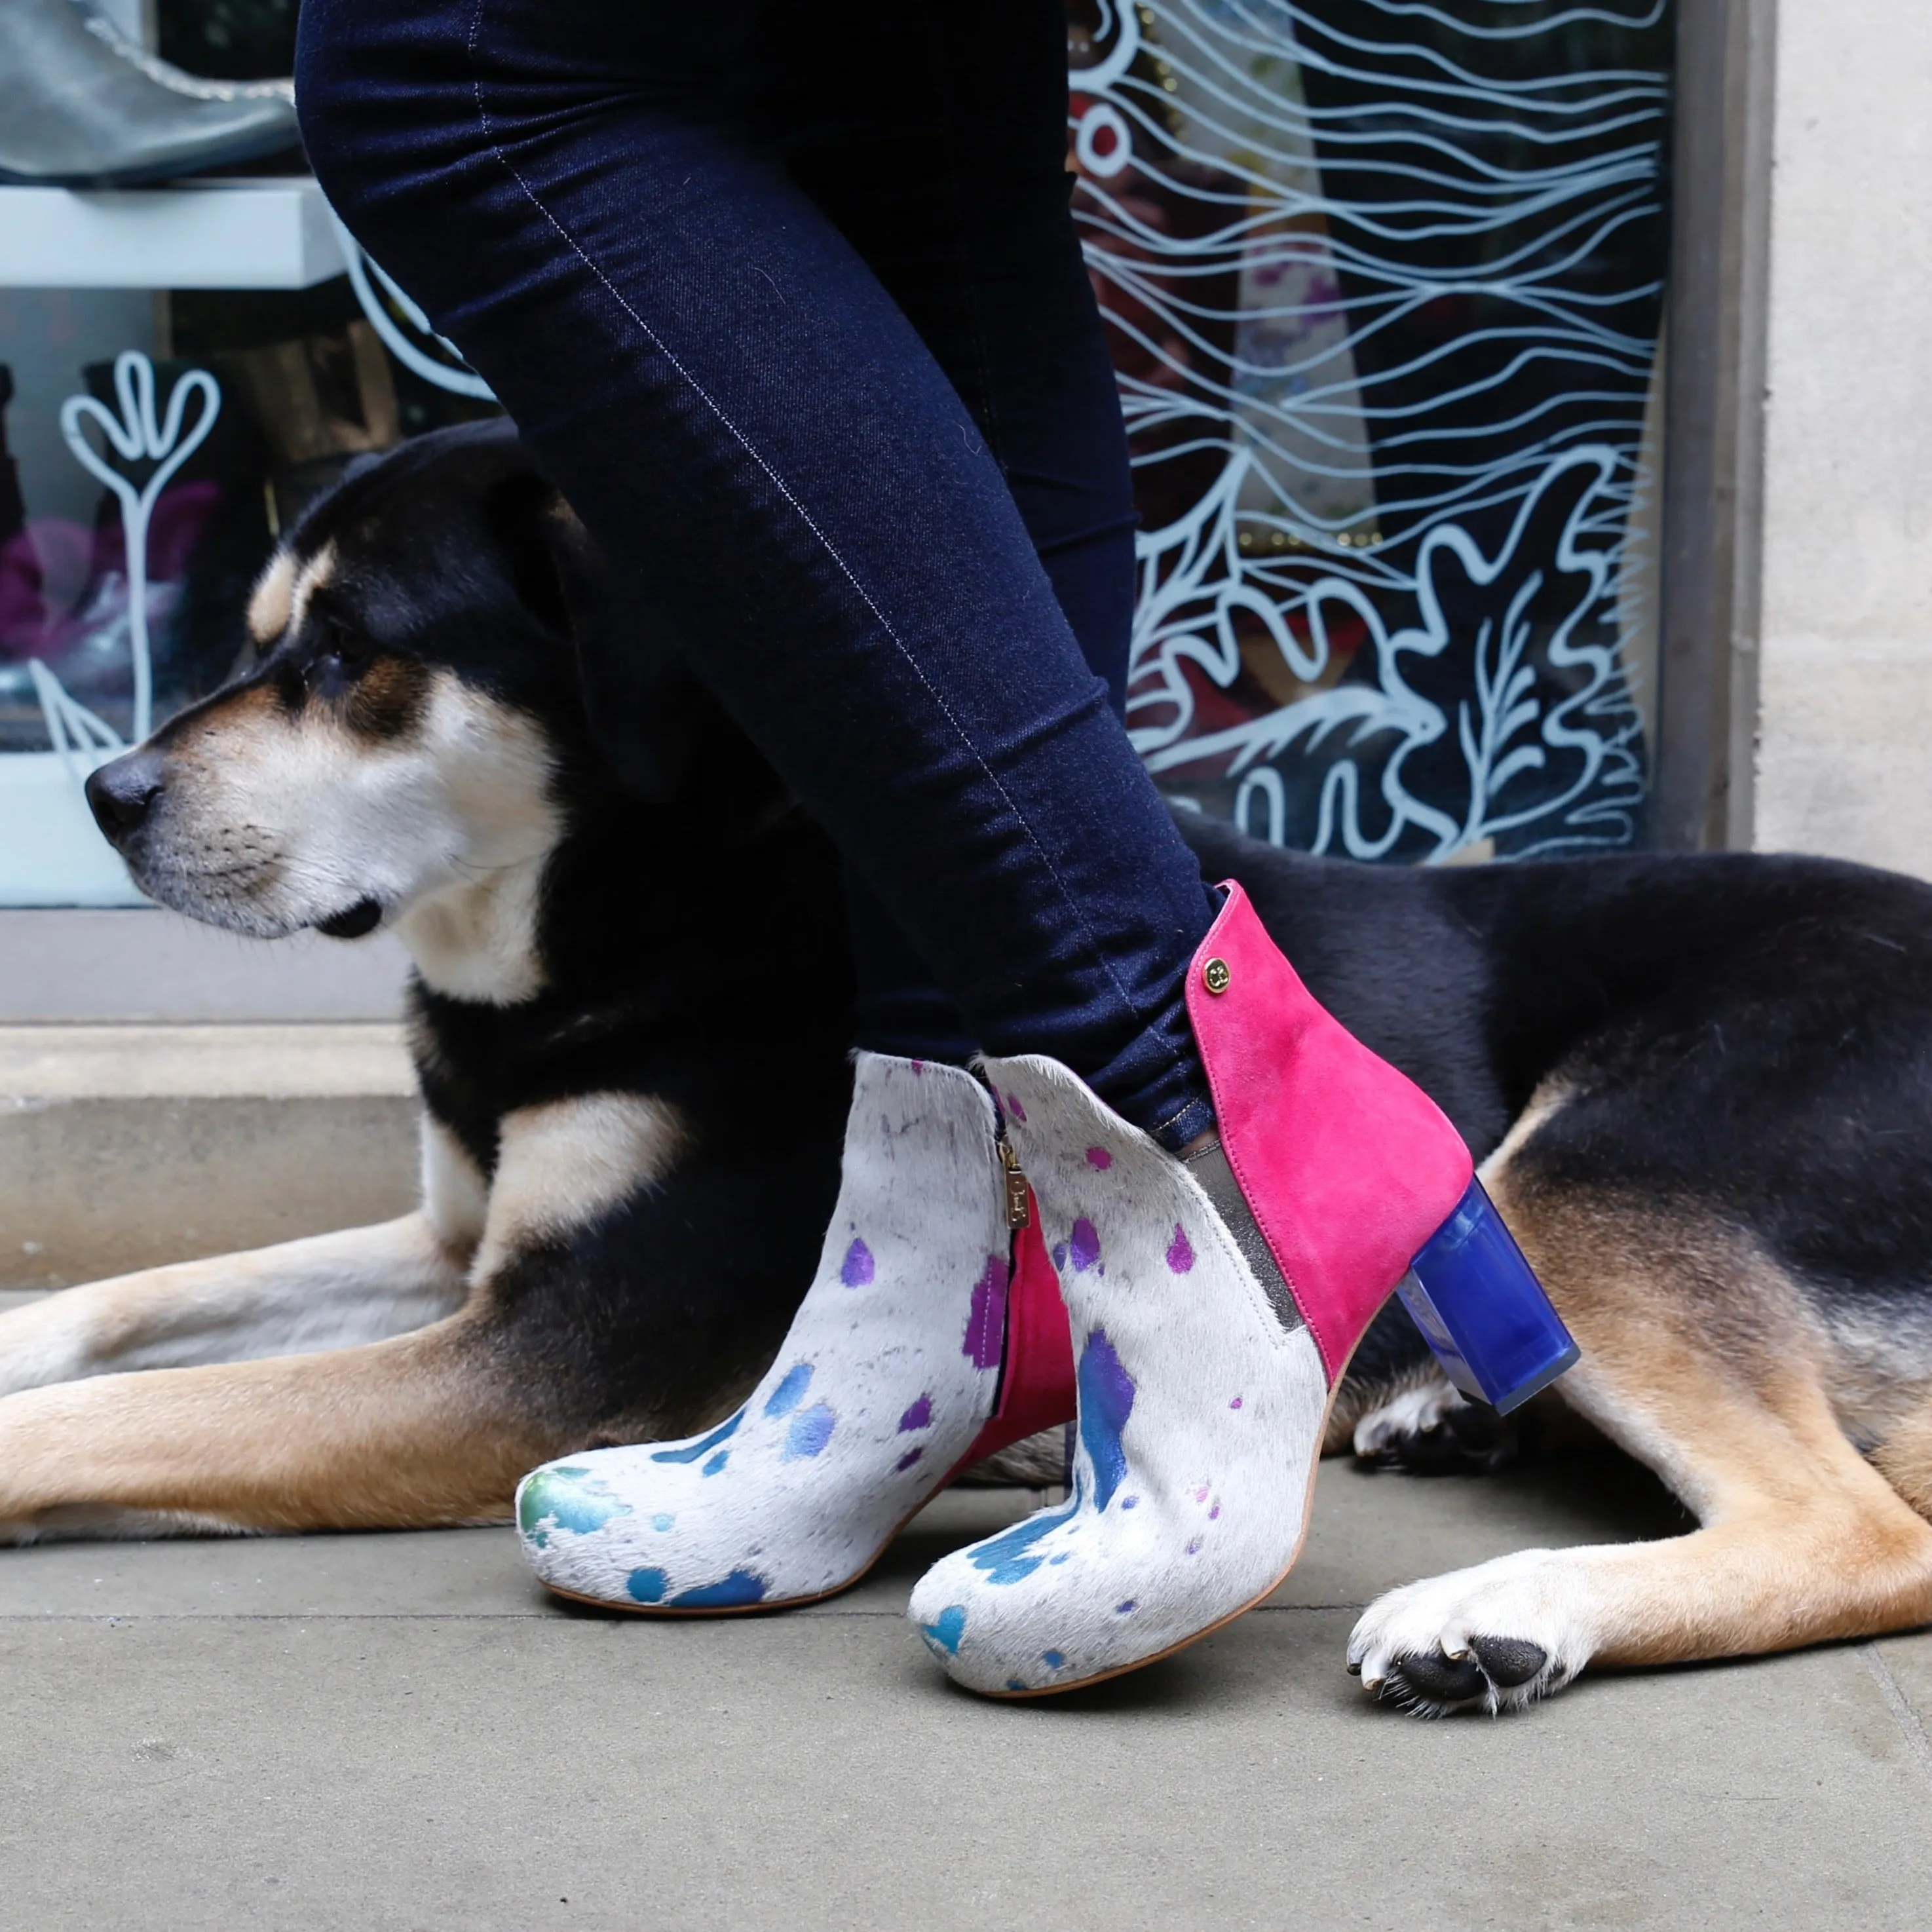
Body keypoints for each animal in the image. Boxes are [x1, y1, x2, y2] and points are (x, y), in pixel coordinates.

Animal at [7, 426, 1924, 1723]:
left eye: (351, 656)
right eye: (263, 633)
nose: (101, 794)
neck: (644, 894)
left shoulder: (551, 1349)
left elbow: (154, 1412)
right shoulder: (448, 1248)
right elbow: (139, 1302)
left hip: (1589, 1175)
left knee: (1860, 1528)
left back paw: (1494, 1611)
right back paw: (1431, 1415)